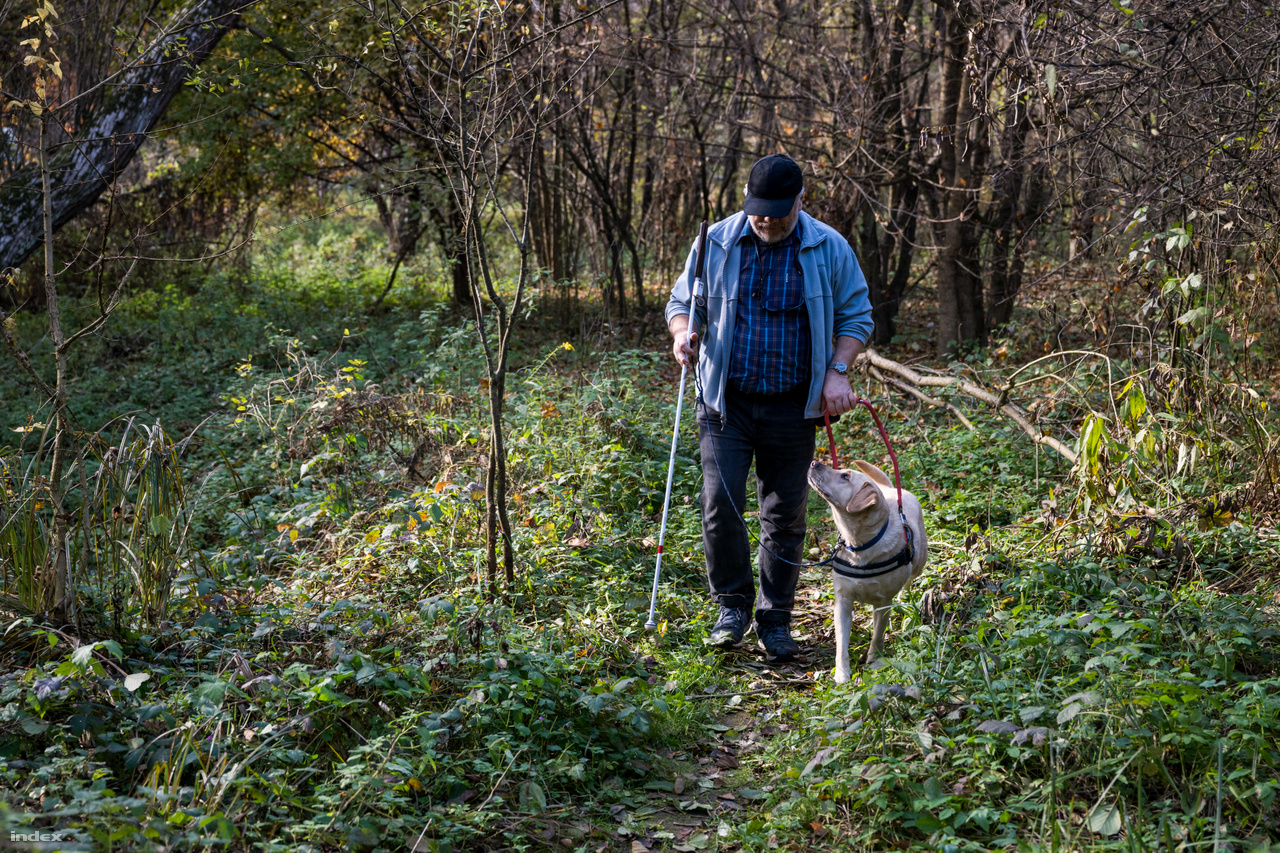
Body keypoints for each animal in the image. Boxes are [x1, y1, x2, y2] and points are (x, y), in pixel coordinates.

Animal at [803, 455, 926, 681]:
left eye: (845, 476)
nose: (814, 462)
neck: (859, 544)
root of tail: (891, 489)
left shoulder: (884, 602)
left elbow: (878, 636)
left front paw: (875, 662)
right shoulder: (842, 602)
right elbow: (842, 643)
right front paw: (842, 675)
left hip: (919, 563)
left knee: (909, 580)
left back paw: (904, 597)